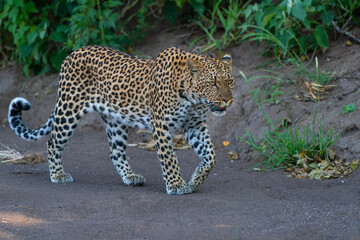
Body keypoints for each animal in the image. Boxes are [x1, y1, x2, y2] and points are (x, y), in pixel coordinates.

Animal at [8, 45, 235, 195]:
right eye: (213, 83)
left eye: (230, 81)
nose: (228, 100)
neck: (193, 99)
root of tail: (73, 53)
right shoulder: (161, 125)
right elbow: (169, 157)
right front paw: (176, 185)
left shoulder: (195, 125)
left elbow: (211, 156)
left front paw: (195, 180)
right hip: (69, 110)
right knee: (52, 141)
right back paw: (58, 175)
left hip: (115, 120)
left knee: (116, 152)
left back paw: (131, 177)